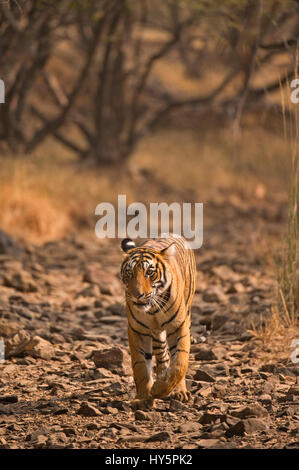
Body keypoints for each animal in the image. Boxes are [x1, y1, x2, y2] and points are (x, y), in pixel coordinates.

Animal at [120, 233, 197, 410]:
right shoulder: (137, 331)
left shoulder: (179, 327)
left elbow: (179, 363)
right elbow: (140, 367)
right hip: (156, 333)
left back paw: (178, 391)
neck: (153, 309)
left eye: (149, 272)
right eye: (129, 272)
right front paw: (143, 398)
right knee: (163, 356)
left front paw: (160, 389)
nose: (137, 295)